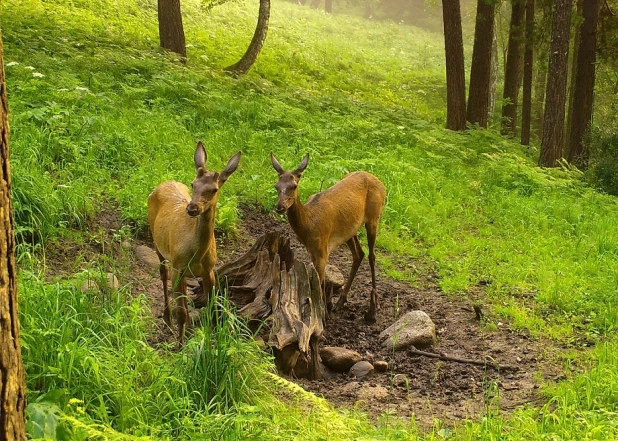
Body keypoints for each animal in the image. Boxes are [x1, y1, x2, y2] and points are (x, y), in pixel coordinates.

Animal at [147, 142, 241, 344]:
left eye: (214, 189)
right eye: (193, 184)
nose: (192, 208)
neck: (196, 253)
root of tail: (164, 183)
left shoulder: (209, 270)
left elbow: (212, 307)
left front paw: (211, 340)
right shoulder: (177, 266)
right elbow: (181, 312)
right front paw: (179, 345)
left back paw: (188, 328)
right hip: (158, 244)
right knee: (163, 274)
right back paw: (167, 318)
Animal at [270, 153, 384, 322]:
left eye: (294, 186)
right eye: (276, 186)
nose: (280, 207)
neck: (308, 225)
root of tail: (382, 184)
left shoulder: (322, 251)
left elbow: (319, 283)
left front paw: (323, 316)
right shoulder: (313, 252)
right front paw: (325, 311)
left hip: (374, 217)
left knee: (371, 256)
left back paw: (372, 310)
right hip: (350, 229)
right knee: (359, 254)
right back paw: (340, 302)